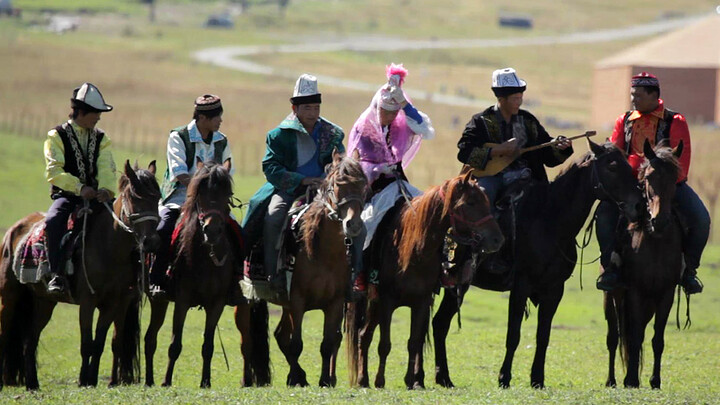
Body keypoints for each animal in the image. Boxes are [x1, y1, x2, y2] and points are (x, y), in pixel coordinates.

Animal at [0, 161, 159, 388]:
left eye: (157, 198)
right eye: (135, 198)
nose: (152, 242)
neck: (108, 247)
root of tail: (13, 231)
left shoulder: (112, 304)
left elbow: (98, 343)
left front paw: (92, 379)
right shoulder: (87, 302)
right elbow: (86, 343)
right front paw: (84, 380)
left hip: (44, 302)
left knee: (29, 342)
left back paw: (33, 384)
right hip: (9, 297)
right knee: (5, 335)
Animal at [236, 148, 368, 386]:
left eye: (363, 184)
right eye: (337, 184)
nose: (353, 225)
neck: (324, 253)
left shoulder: (335, 303)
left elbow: (327, 343)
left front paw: (324, 380)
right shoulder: (297, 300)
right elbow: (296, 344)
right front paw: (297, 378)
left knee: (279, 335)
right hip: (247, 300)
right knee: (247, 339)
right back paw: (247, 379)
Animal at [346, 170, 504, 388]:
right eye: (470, 203)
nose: (497, 240)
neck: (416, 249)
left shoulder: (421, 302)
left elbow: (414, 342)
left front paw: (411, 381)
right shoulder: (387, 301)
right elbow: (385, 344)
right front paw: (380, 381)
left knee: (365, 333)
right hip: (375, 300)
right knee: (364, 335)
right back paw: (363, 379)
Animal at [430, 140, 644, 388]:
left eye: (627, 164)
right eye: (611, 166)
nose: (638, 205)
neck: (549, 219)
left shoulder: (554, 290)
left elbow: (543, 335)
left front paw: (537, 379)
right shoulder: (521, 286)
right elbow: (513, 334)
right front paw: (504, 377)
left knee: (440, 323)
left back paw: (444, 377)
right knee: (441, 322)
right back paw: (444, 376)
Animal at [604, 140, 684, 388]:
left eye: (675, 177)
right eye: (649, 177)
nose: (660, 221)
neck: (655, 241)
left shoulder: (666, 293)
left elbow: (657, 338)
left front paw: (654, 380)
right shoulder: (635, 292)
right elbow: (635, 334)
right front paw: (631, 379)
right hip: (612, 296)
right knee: (614, 336)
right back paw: (612, 380)